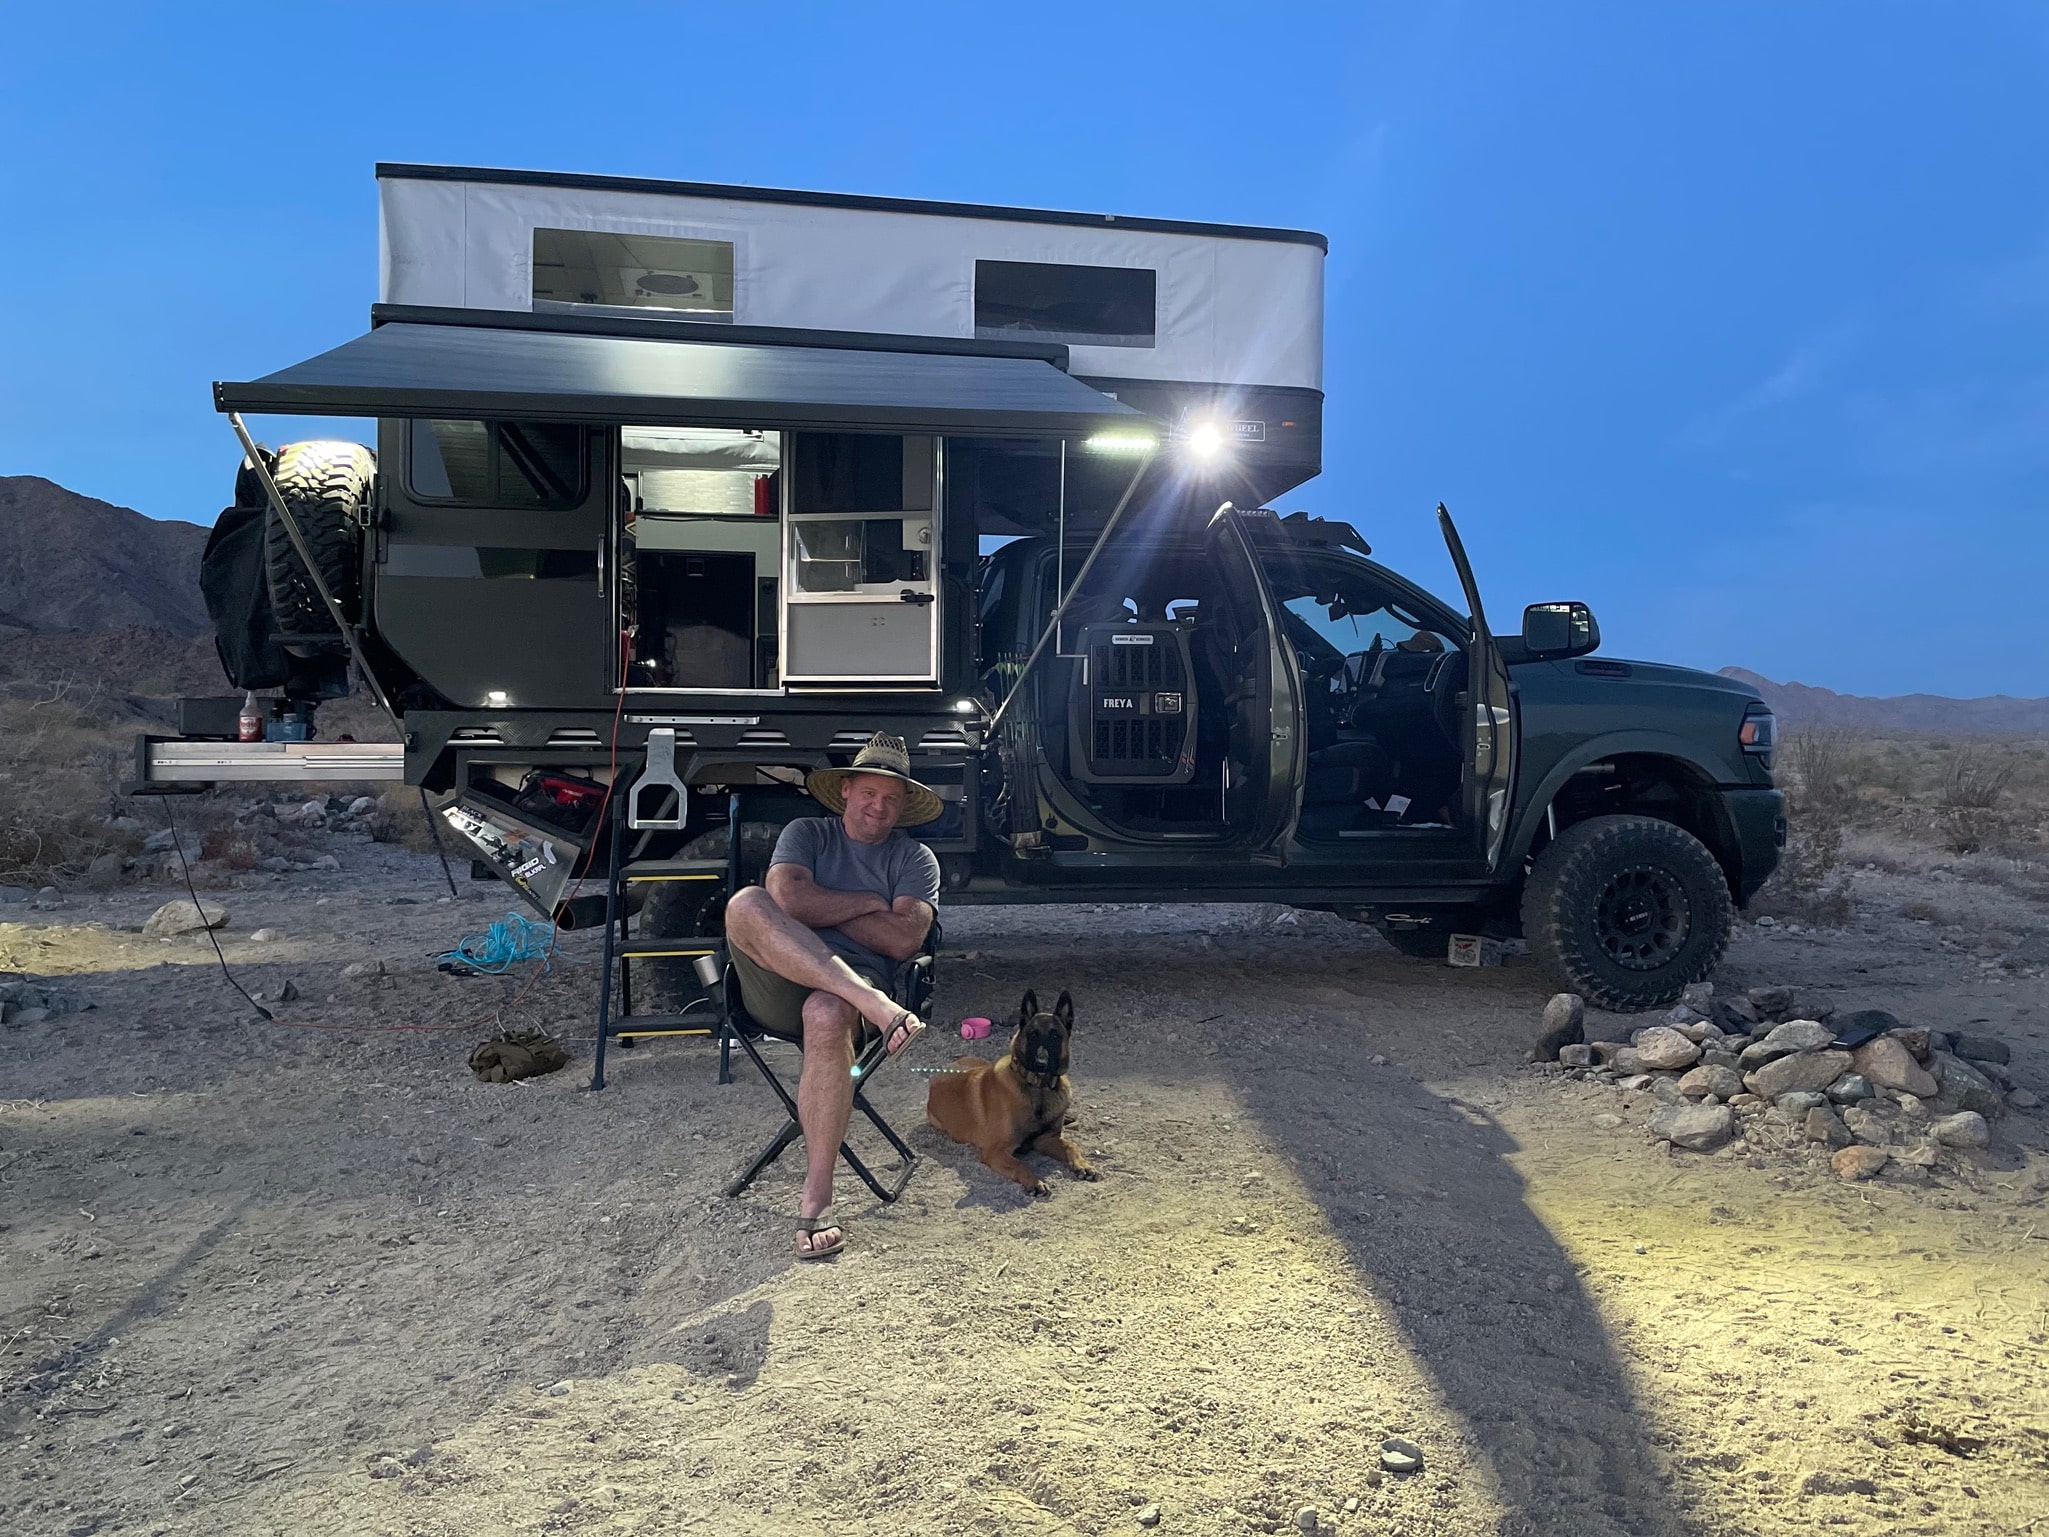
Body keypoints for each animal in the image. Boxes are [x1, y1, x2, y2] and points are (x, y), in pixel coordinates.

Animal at [926, 991, 1098, 1196]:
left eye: (1055, 1036)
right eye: (1033, 1035)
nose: (1041, 1063)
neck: (1039, 1089)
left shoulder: (1046, 1139)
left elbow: (1071, 1145)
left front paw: (1083, 1164)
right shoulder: (996, 1151)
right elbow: (1019, 1164)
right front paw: (1034, 1182)